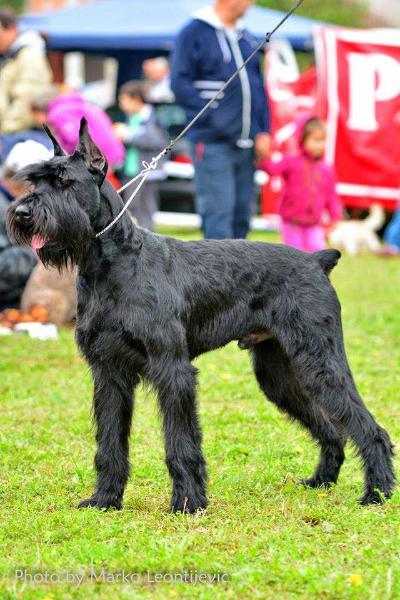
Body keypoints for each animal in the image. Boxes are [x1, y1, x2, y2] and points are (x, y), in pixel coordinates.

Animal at [6, 120, 394, 510]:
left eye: (64, 182)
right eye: (33, 182)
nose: (22, 213)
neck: (113, 263)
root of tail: (316, 261)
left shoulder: (172, 370)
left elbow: (181, 443)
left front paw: (189, 503)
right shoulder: (109, 372)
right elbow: (110, 442)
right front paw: (104, 499)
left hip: (320, 362)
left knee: (369, 428)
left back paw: (377, 493)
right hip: (279, 375)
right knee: (330, 427)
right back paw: (322, 480)